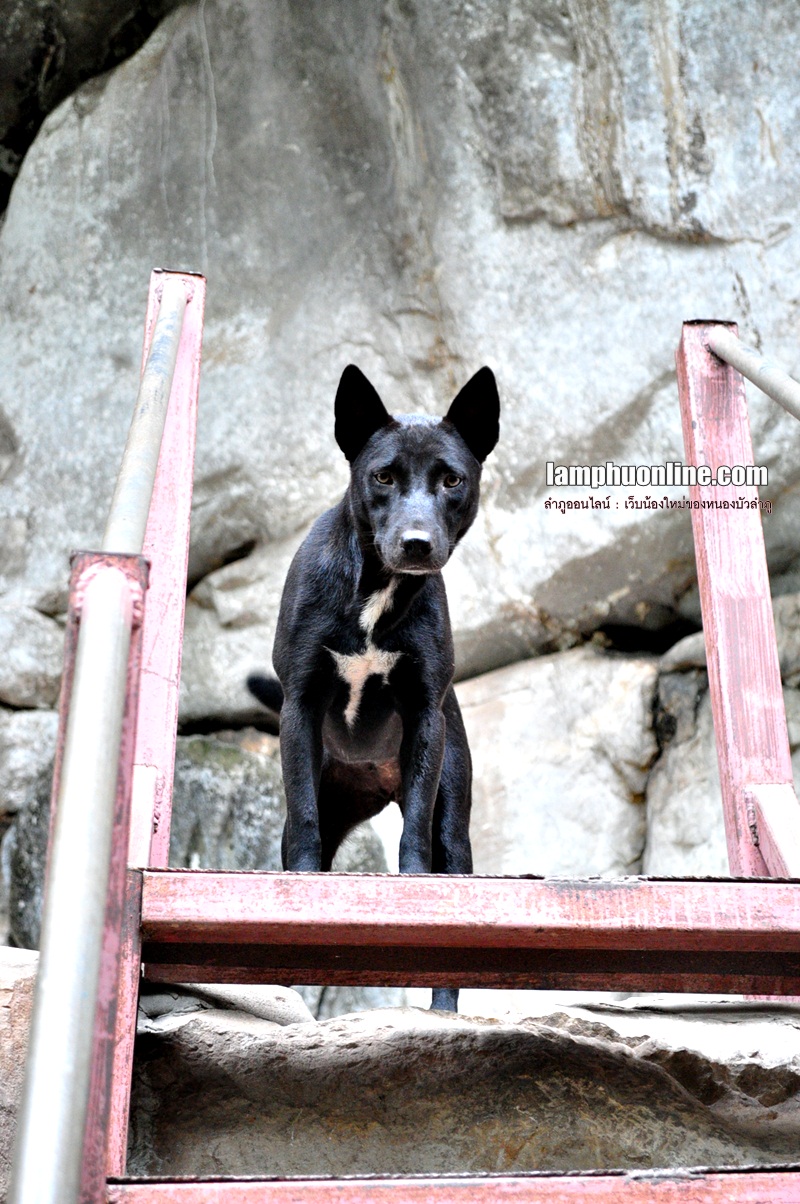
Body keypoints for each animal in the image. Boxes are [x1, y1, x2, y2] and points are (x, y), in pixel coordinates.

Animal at [250, 361, 501, 1011]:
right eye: (383, 475)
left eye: (452, 479)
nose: (416, 543)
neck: (377, 592)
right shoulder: (299, 707)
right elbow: (305, 838)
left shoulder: (426, 719)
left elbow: (414, 844)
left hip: (453, 818)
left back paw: (444, 1015)